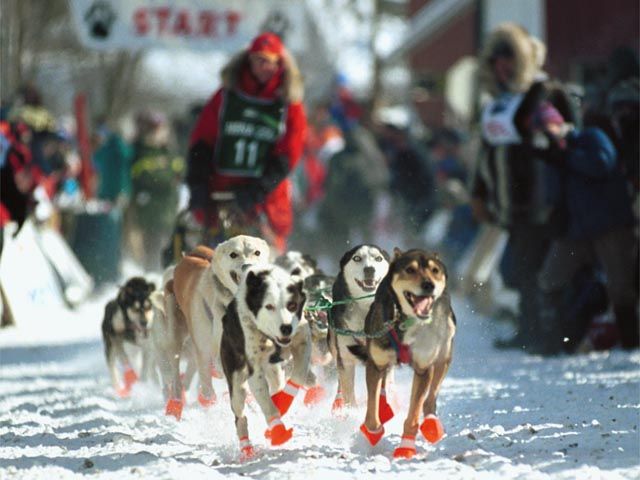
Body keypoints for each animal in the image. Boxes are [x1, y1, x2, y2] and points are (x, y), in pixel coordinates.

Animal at [330, 244, 390, 412]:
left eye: (378, 258)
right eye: (356, 258)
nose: (369, 269)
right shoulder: (345, 359)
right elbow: (348, 392)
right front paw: (352, 413)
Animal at [360, 249, 456, 460]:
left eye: (435, 270)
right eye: (410, 269)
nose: (429, 285)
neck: (406, 322)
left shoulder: (423, 369)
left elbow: (414, 414)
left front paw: (406, 448)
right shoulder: (375, 364)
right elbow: (372, 413)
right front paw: (373, 431)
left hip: (443, 356)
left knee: (430, 400)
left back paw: (432, 424)